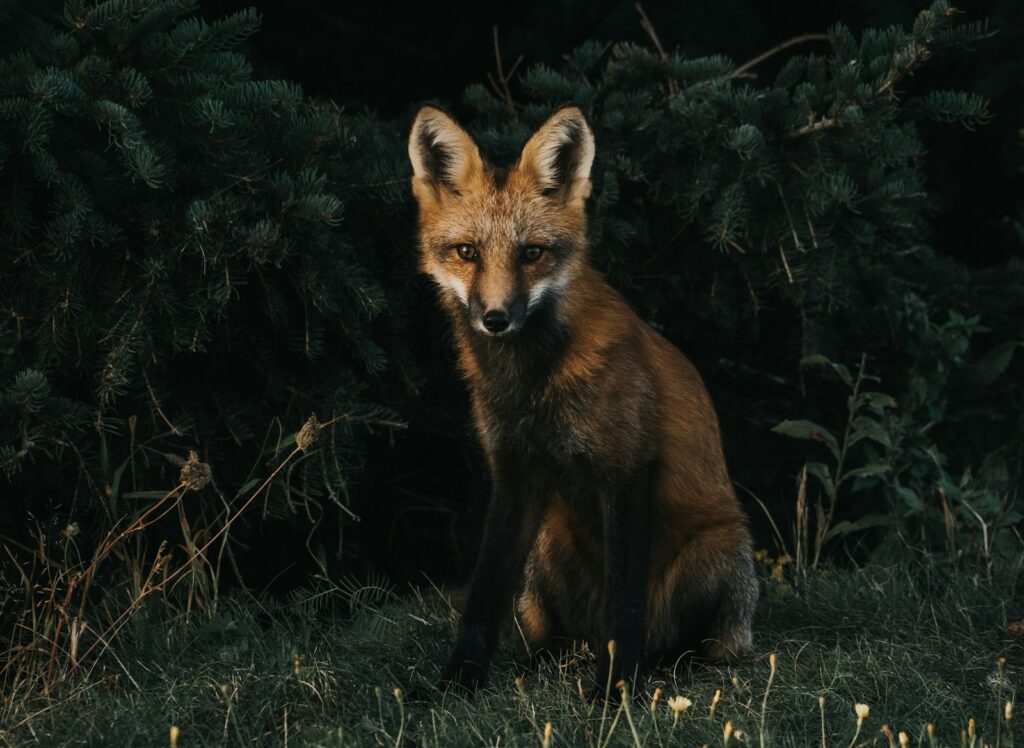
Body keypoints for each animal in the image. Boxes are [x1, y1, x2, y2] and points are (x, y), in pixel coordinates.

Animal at [407, 105, 758, 694]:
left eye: (532, 253)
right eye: (467, 253)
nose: (495, 319)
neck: (531, 386)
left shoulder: (627, 467)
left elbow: (624, 605)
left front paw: (616, 691)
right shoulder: (513, 471)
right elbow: (483, 595)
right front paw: (457, 681)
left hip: (718, 552)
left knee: (688, 643)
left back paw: (661, 664)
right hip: (547, 546)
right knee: (556, 635)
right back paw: (549, 660)